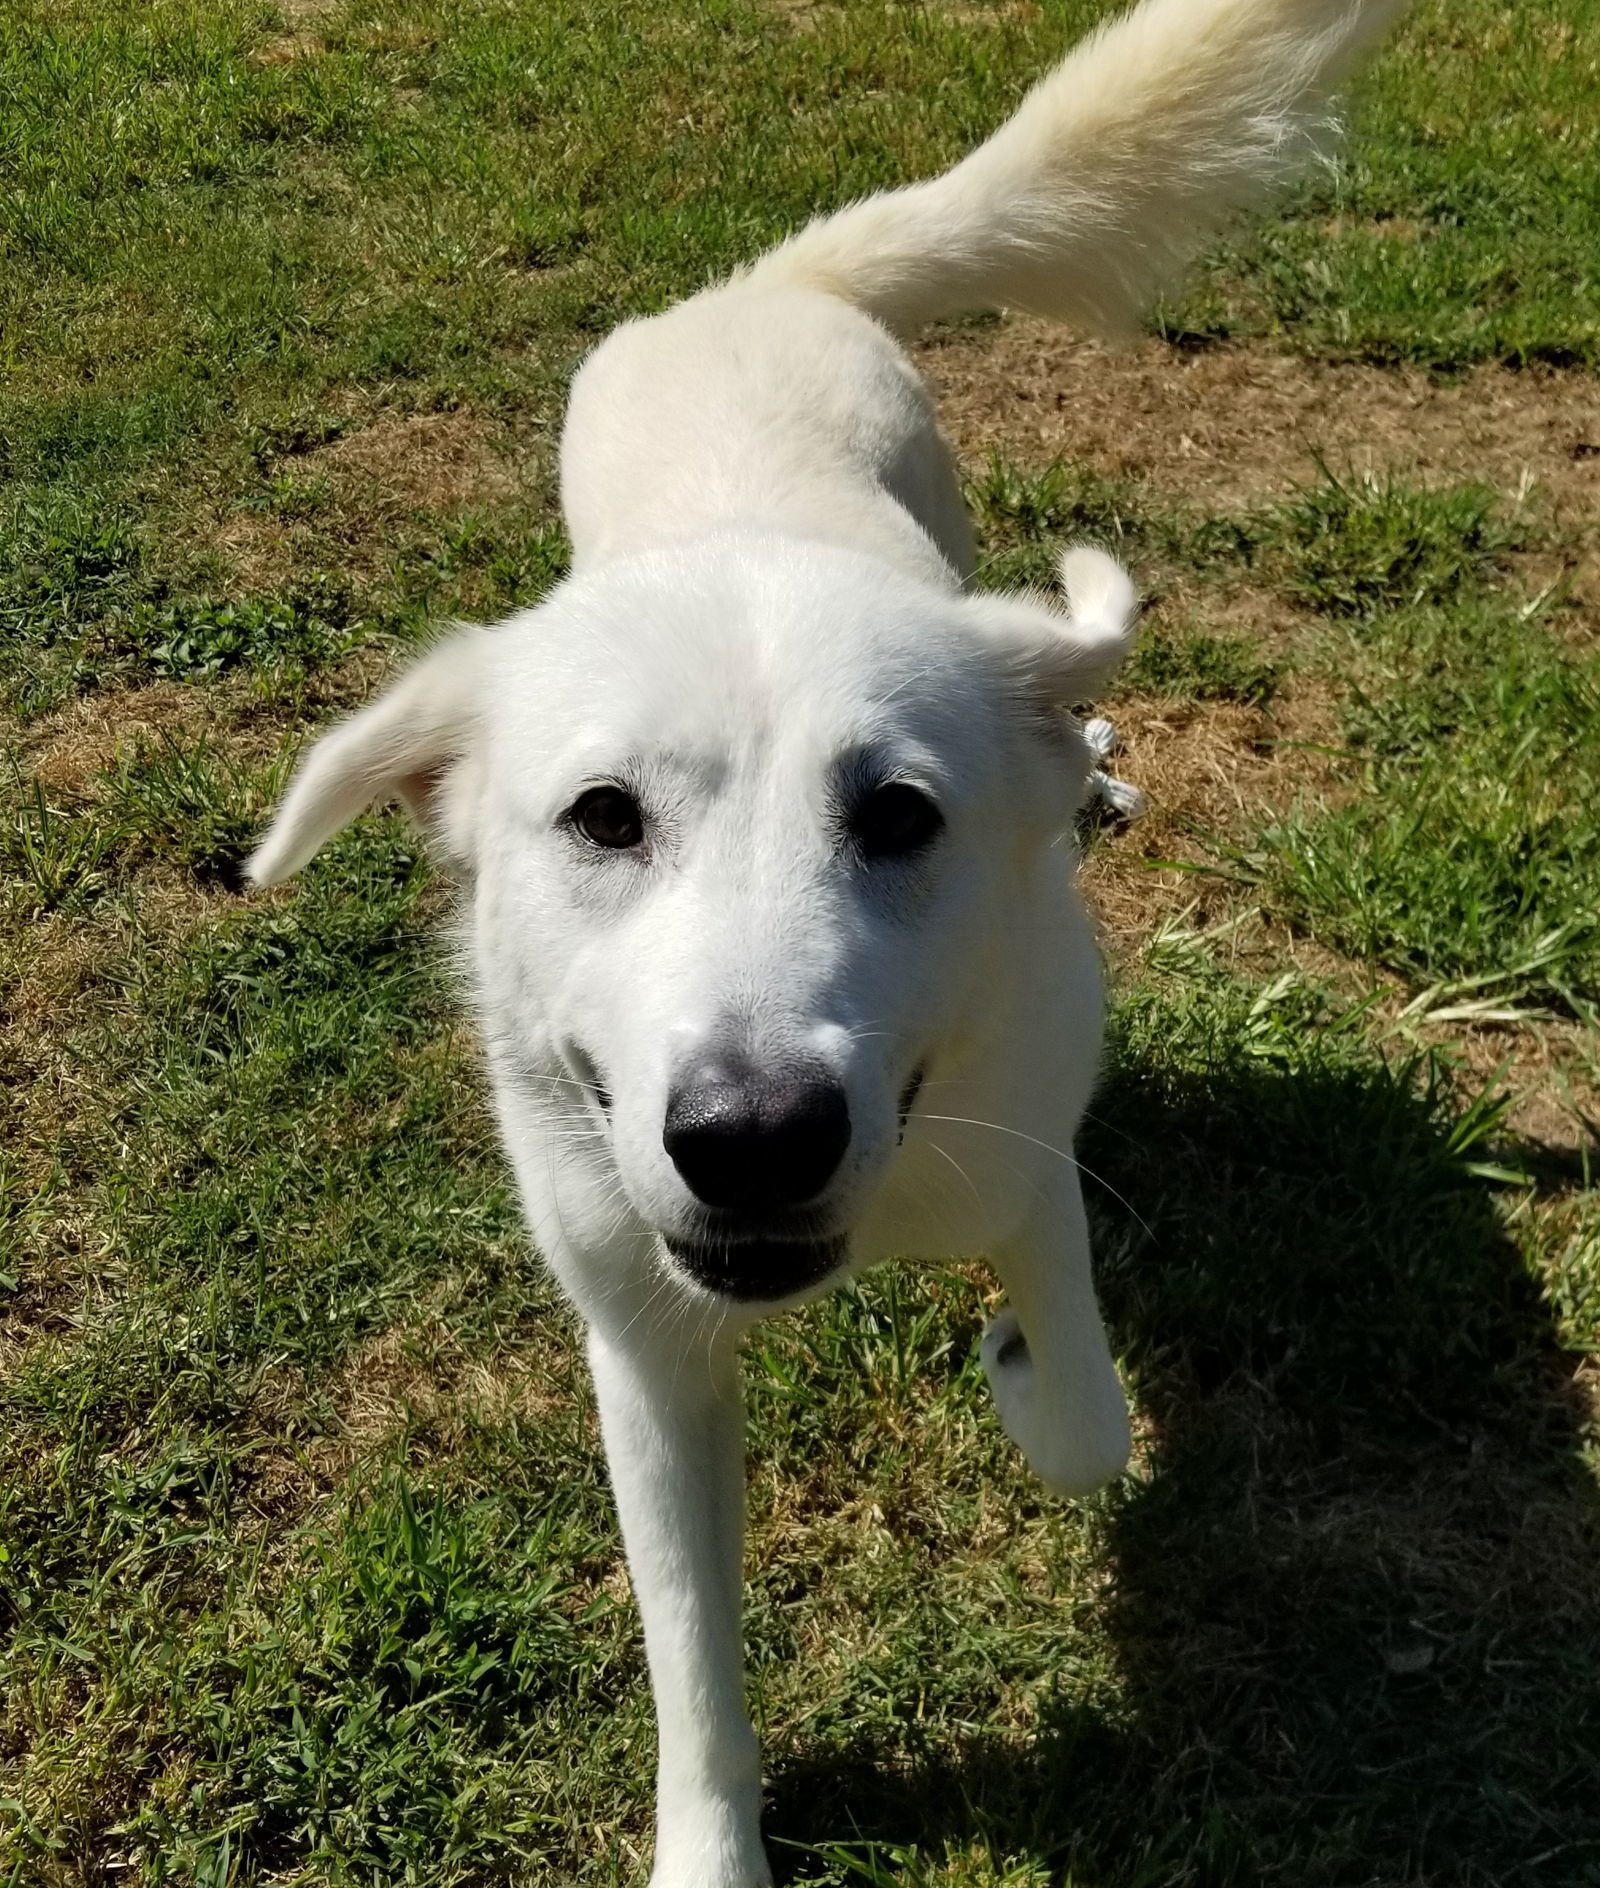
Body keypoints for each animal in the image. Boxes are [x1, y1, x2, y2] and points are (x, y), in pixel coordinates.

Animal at [247, 7, 1405, 1880]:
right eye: (602, 819)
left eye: (900, 817)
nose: (753, 1139)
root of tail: (762, 284)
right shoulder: (643, 1356)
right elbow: (692, 1664)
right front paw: (711, 1845)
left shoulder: (1027, 1146)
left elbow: (1088, 1421)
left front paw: (1021, 1367)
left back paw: (1085, 751)